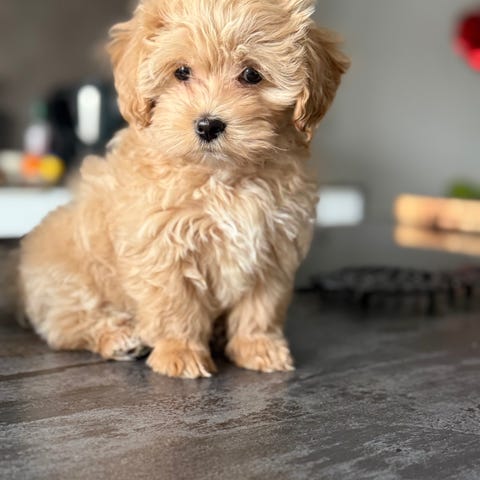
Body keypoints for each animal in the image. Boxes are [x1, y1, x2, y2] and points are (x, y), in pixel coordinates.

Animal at [19, 0, 349, 378]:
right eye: (181, 72)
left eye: (252, 74)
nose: (208, 125)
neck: (223, 176)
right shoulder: (162, 245)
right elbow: (175, 304)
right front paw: (180, 352)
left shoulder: (274, 245)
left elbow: (261, 304)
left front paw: (258, 346)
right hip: (68, 280)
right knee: (71, 322)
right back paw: (119, 338)